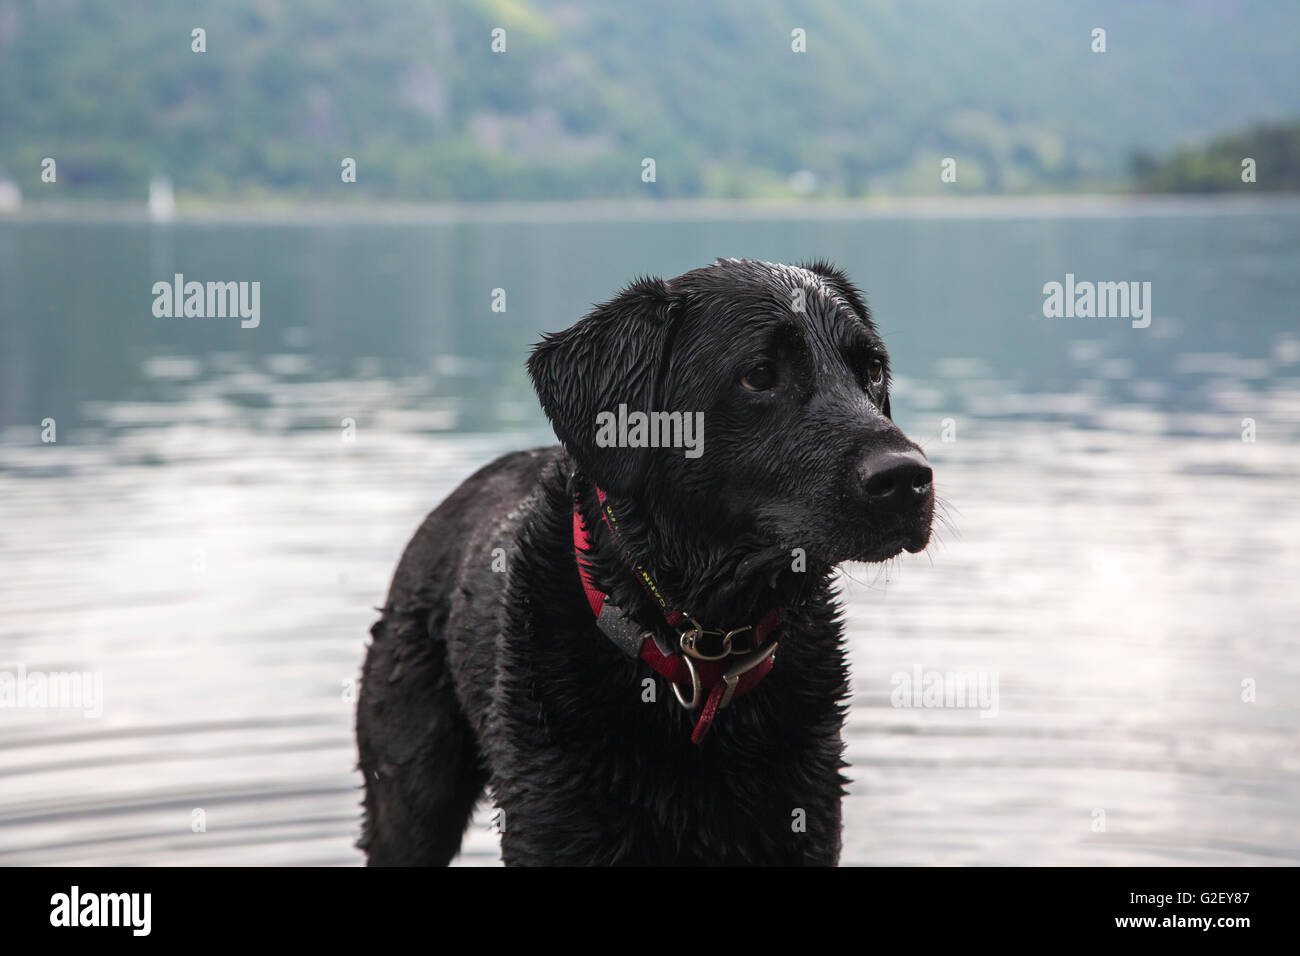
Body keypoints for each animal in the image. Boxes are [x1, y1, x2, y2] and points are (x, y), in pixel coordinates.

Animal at [356, 256, 935, 868]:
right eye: (759, 374)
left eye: (872, 369)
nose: (907, 478)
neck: (700, 651)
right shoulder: (553, 822)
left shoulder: (805, 815)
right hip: (413, 793)